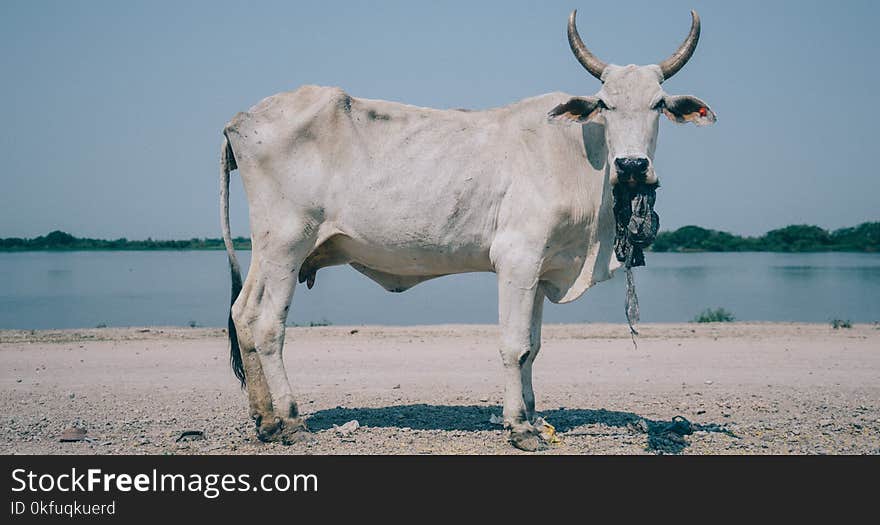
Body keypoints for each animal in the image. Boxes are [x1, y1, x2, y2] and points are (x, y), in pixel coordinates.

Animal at [220, 10, 716, 448]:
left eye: (658, 104)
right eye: (606, 105)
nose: (632, 166)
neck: (579, 156)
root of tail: (239, 120)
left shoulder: (542, 269)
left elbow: (534, 346)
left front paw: (532, 415)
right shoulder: (517, 258)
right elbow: (514, 345)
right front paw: (519, 428)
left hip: (270, 249)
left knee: (244, 314)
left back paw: (265, 420)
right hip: (287, 244)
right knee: (269, 325)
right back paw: (290, 421)